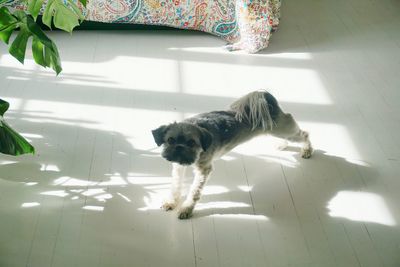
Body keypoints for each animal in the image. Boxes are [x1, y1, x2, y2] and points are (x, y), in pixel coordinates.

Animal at [152, 90, 310, 220]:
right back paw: (282, 144)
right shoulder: (178, 167)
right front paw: (171, 202)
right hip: (275, 130)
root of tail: (267, 99)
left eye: (191, 143)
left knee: (304, 134)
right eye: (170, 140)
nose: (179, 147)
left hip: (283, 129)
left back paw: (307, 150)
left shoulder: (204, 170)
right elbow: (176, 185)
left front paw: (186, 208)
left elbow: (194, 191)